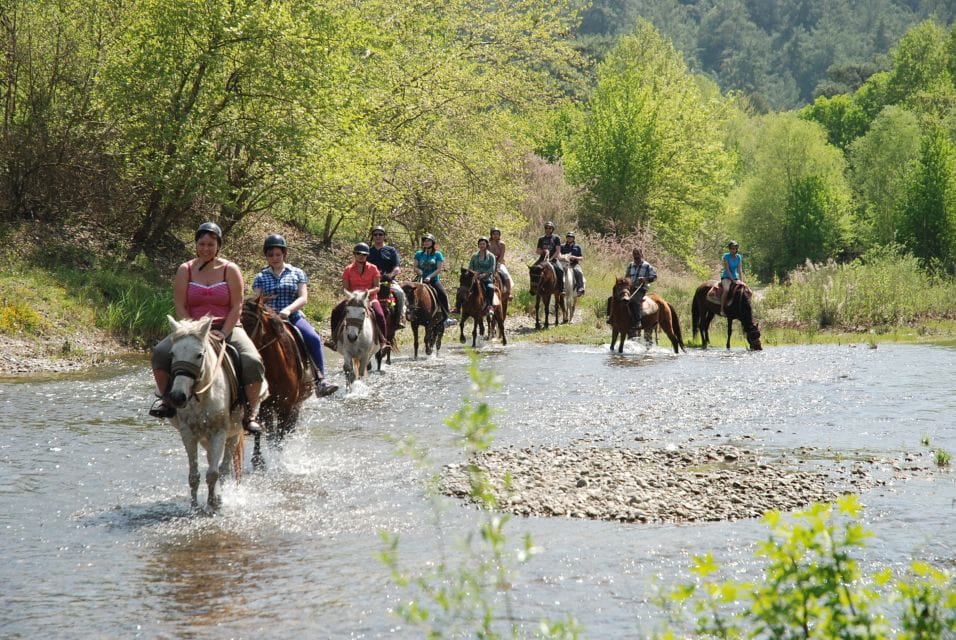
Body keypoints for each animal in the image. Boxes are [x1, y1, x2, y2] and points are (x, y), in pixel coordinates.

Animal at [165, 316, 250, 511]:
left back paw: (221, 496)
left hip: (233, 433)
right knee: (214, 459)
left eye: (199, 355)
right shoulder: (188, 433)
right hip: (206, 438)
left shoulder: (220, 432)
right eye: (172, 354)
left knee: (224, 468)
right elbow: (194, 475)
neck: (202, 396)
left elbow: (213, 473)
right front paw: (194, 506)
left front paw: (212, 504)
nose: (178, 397)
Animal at [240, 294, 313, 467]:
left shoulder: (285, 406)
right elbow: (265, 434)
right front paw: (258, 461)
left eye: (251, 323)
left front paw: (279, 462)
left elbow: (280, 437)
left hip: (297, 404)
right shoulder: (262, 406)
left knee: (288, 430)